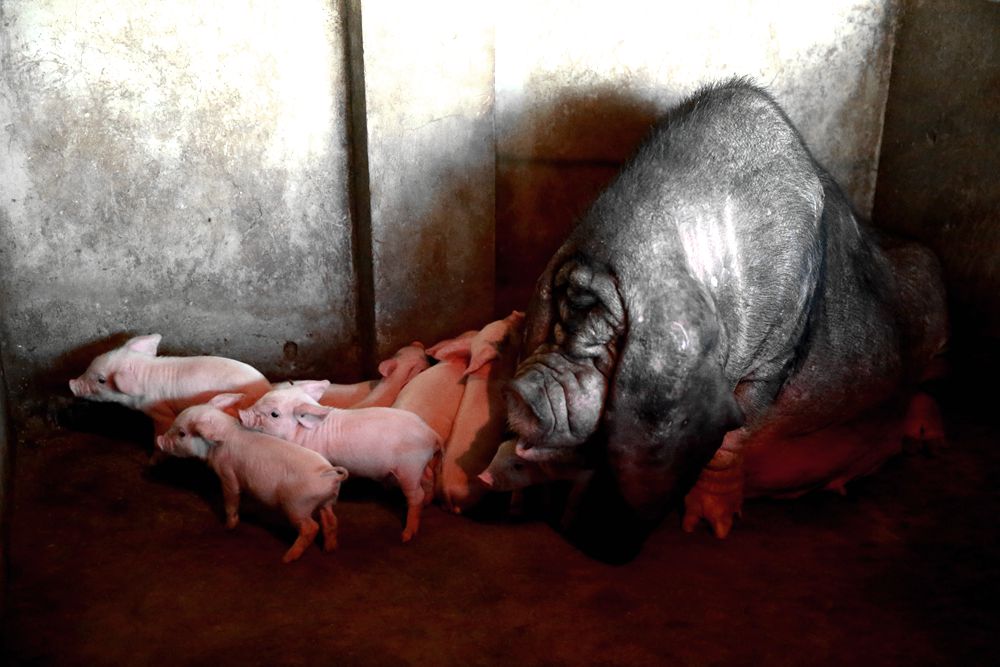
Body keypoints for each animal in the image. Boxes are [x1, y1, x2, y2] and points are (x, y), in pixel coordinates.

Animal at [156, 393, 349, 563]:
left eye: (182, 433)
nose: (158, 440)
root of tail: (328, 474)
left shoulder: (227, 473)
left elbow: (231, 498)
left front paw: (228, 527)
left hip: (297, 505)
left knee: (311, 527)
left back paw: (287, 558)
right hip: (326, 501)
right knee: (331, 520)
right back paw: (330, 550)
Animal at [239, 383, 441, 542]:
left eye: (274, 414)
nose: (241, 414)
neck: (303, 432)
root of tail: (432, 434)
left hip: (409, 467)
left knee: (416, 495)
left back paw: (406, 535)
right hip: (420, 465)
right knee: (429, 477)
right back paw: (428, 503)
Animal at [504, 78, 947, 561]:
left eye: (610, 335)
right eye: (564, 309)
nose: (521, 391)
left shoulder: (774, 357)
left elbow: (733, 438)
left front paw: (707, 529)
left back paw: (930, 442)